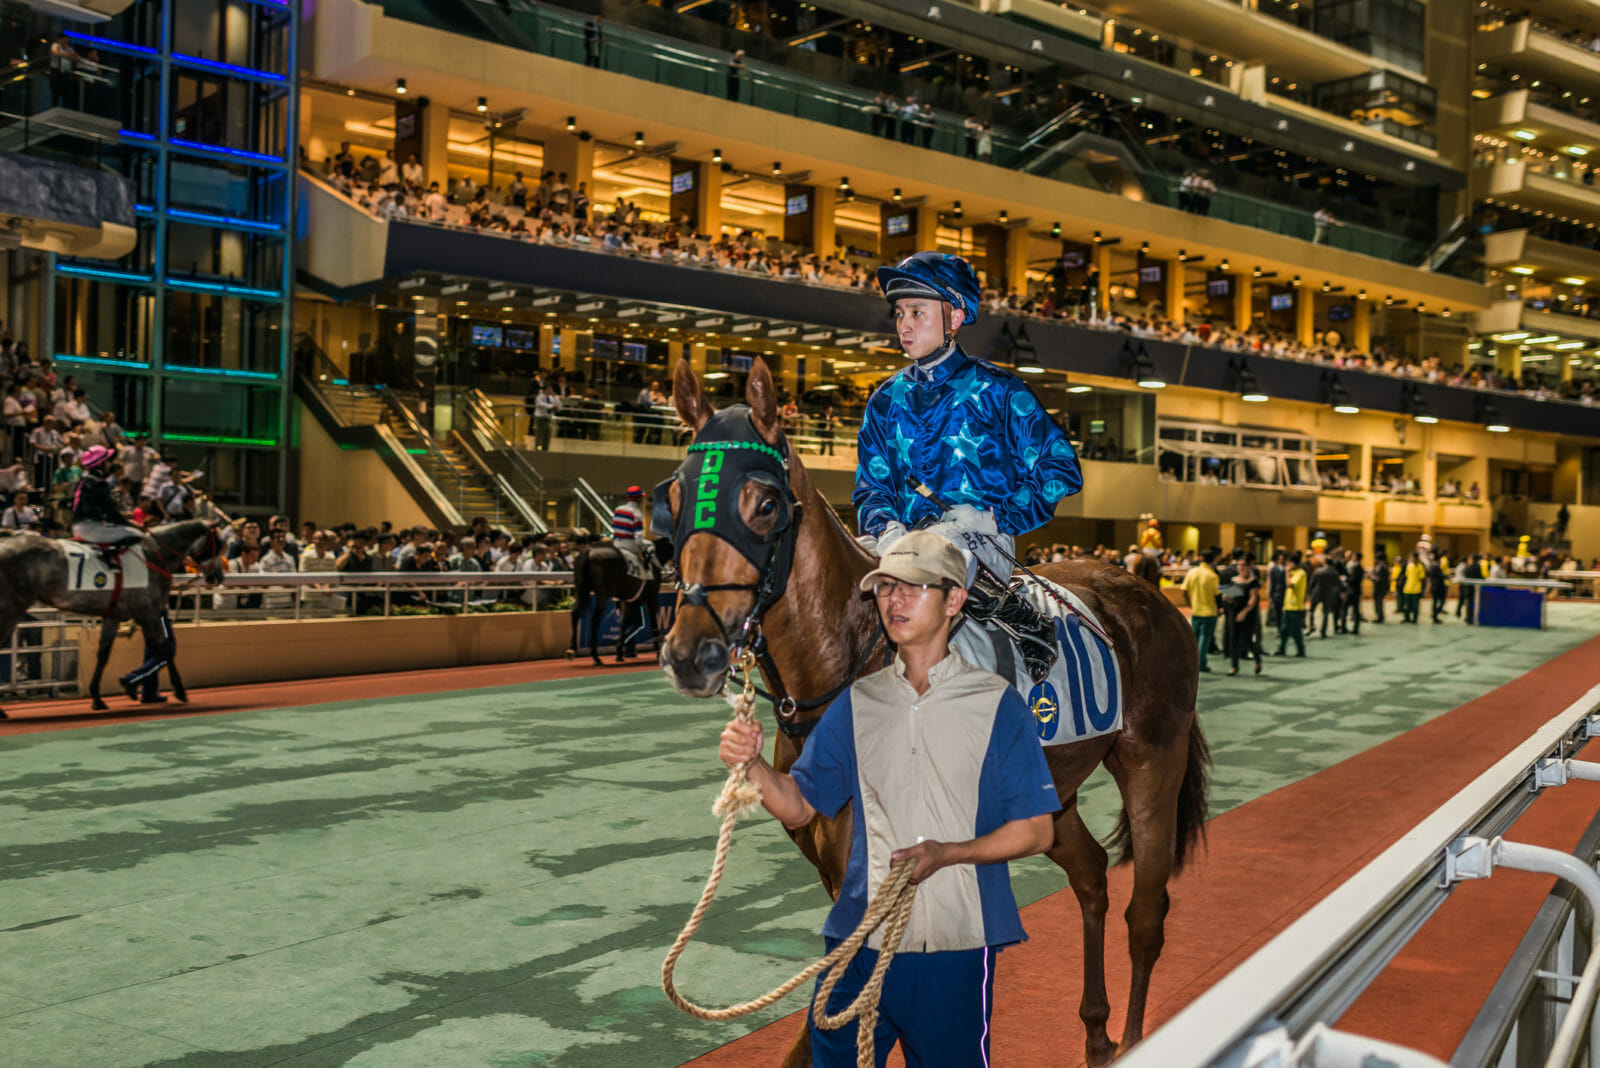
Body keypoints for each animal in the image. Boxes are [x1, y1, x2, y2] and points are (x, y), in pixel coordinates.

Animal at [0, 518, 225, 716]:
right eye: (219, 544)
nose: (218, 576)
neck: (152, 555)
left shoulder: (113, 616)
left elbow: (103, 654)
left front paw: (98, 697)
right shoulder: (149, 613)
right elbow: (166, 648)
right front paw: (179, 690)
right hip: (12, 609)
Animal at [656, 358, 1203, 1068]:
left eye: (765, 503)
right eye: (673, 498)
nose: (689, 652)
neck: (852, 657)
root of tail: (1149, 590)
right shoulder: (838, 870)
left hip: (1152, 762)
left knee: (1146, 914)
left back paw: (1135, 1037)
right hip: (1052, 795)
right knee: (1091, 879)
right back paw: (1095, 1031)